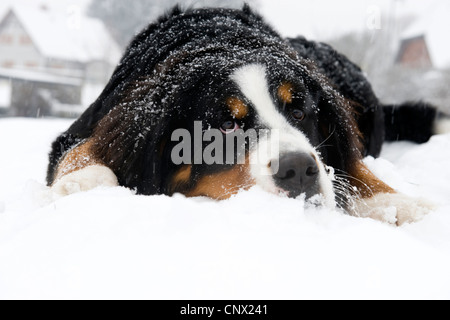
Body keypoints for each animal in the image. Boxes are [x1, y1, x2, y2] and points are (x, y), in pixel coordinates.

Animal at [45, 5, 446, 225]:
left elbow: (353, 167)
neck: (221, 41)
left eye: (298, 110)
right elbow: (80, 149)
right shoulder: (83, 126)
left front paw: (398, 203)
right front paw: (87, 181)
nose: (298, 169)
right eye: (227, 125)